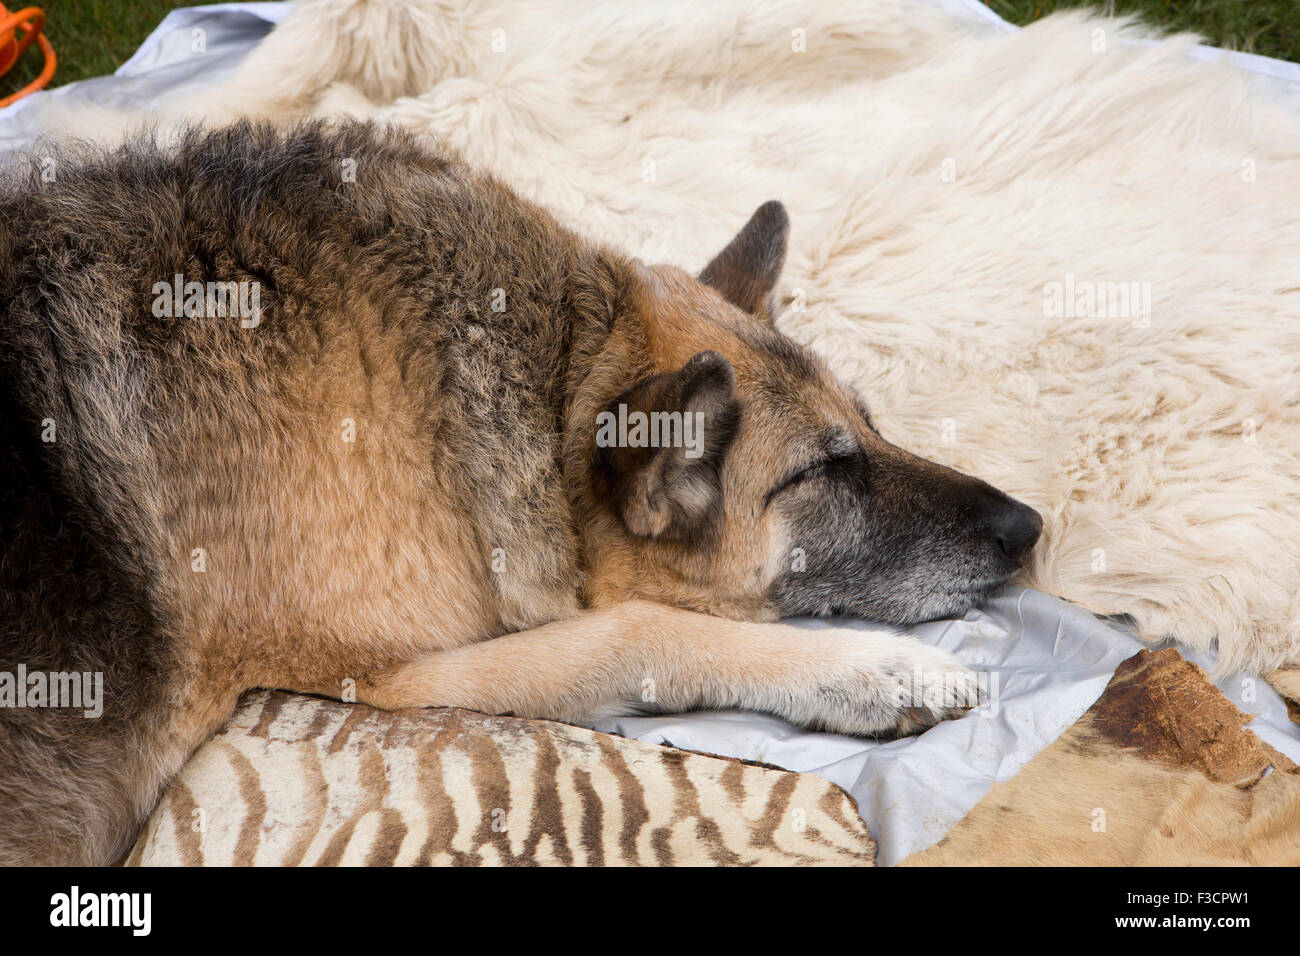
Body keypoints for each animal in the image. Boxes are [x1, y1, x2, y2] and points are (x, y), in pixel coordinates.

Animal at [0, 121, 1040, 868]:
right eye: (821, 473)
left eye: (869, 426)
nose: (1028, 529)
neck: (552, 384)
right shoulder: (387, 680)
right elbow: (642, 631)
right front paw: (868, 671)